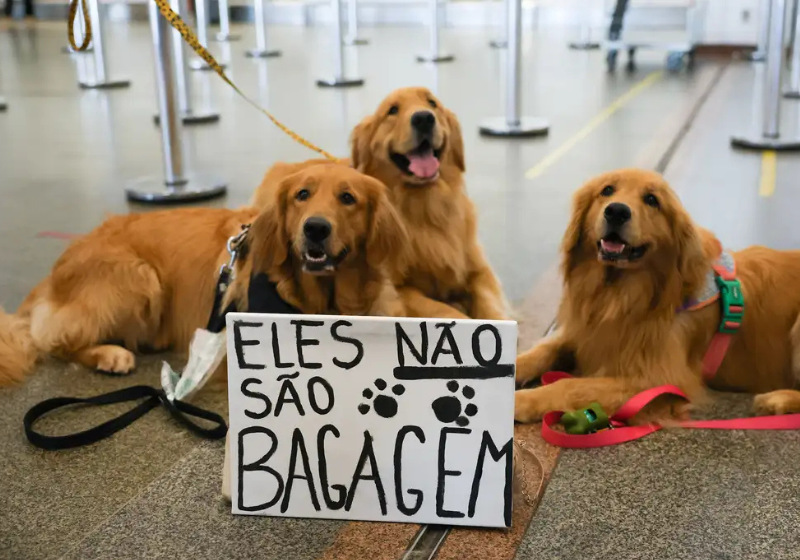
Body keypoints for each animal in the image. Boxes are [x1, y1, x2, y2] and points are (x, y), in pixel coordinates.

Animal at [0, 164, 406, 388]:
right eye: (302, 195)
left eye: (348, 198)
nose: (316, 228)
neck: (323, 299)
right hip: (138, 277)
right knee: (56, 341)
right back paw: (110, 355)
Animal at [516, 168, 800, 422]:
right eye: (607, 190)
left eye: (652, 200)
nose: (616, 211)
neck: (618, 294)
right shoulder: (586, 331)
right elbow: (544, 349)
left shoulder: (660, 379)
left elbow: (571, 386)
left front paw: (522, 400)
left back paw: (777, 399)